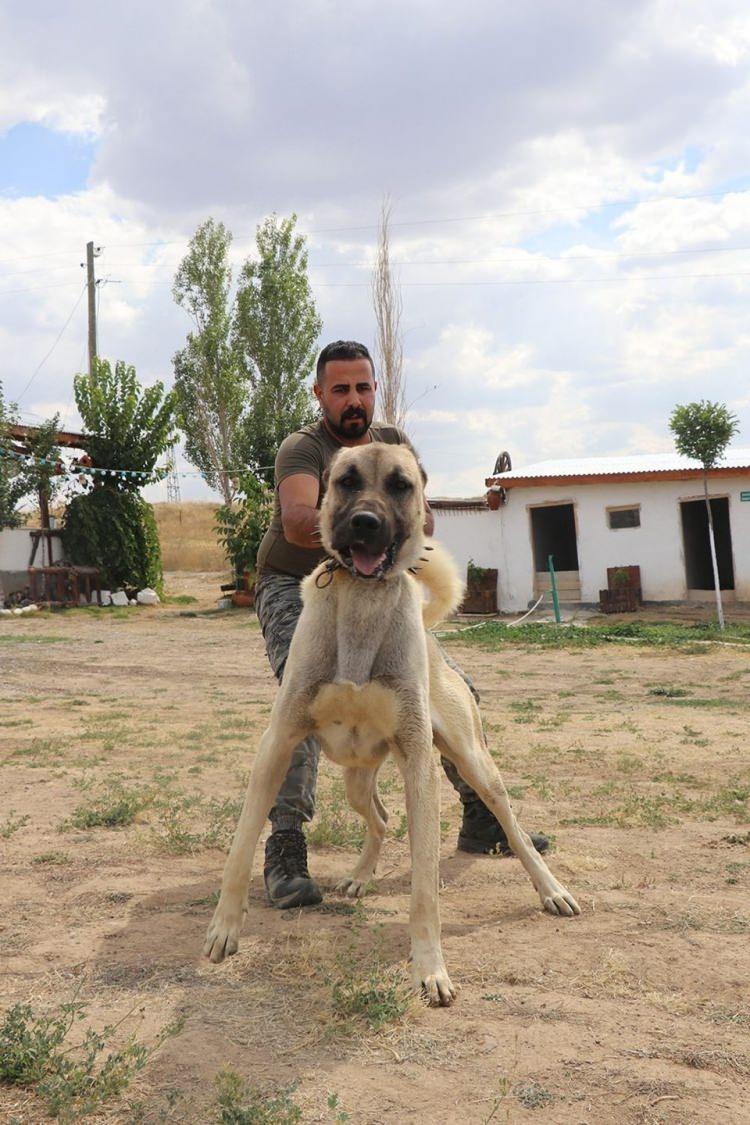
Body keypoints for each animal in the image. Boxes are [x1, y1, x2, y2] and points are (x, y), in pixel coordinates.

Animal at [205, 438, 580, 1003]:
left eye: (401, 485)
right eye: (347, 481)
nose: (365, 523)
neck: (361, 606)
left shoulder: (419, 762)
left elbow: (425, 887)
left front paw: (429, 968)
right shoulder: (278, 745)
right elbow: (241, 845)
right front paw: (224, 928)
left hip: (473, 762)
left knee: (510, 828)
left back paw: (550, 888)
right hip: (357, 780)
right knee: (380, 819)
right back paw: (361, 876)